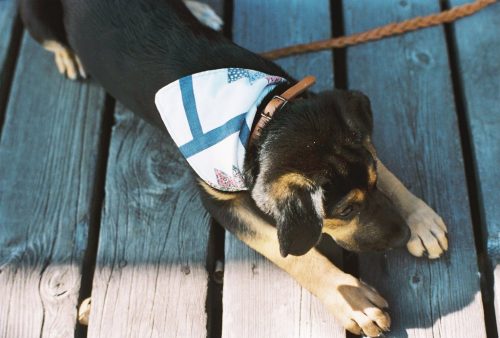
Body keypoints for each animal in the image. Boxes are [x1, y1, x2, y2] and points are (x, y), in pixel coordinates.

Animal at [20, 0, 450, 336]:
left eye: (373, 184)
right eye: (345, 211)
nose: (402, 233)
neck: (260, 115)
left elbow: (381, 163)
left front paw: (422, 218)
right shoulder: (220, 201)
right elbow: (288, 251)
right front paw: (353, 300)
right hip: (37, 15)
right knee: (48, 36)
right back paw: (68, 55)